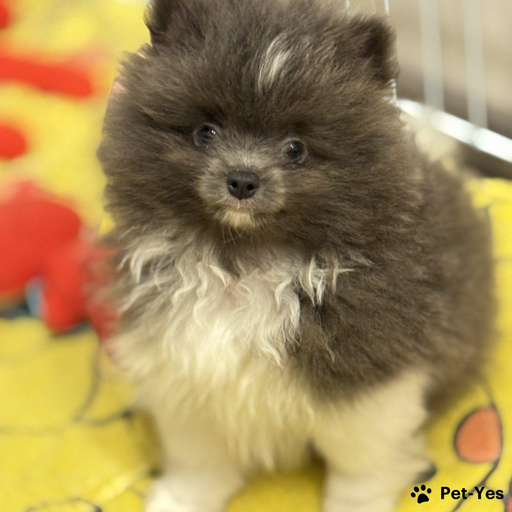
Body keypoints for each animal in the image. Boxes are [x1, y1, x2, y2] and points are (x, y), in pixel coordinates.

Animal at [97, 0, 494, 510]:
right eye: (205, 132)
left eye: (295, 148)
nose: (242, 179)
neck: (246, 262)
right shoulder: (186, 369)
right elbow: (199, 459)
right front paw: (179, 499)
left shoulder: (368, 382)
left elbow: (360, 467)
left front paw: (355, 505)